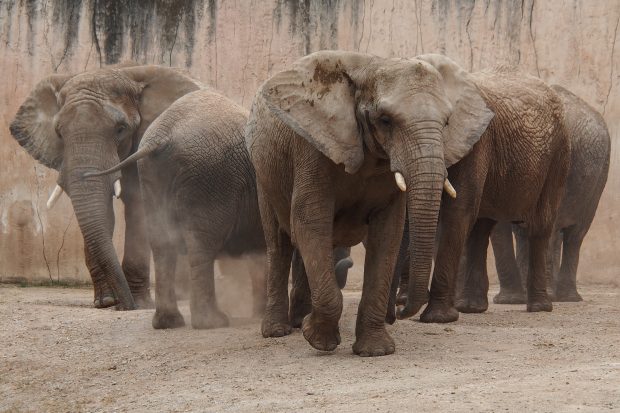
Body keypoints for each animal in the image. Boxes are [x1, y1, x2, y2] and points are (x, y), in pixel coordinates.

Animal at [9, 65, 202, 308]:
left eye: (120, 129)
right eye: (59, 133)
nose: (124, 305)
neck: (126, 72)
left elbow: (137, 207)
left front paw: (139, 304)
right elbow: (102, 214)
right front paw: (106, 302)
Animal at [245, 50, 492, 354]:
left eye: (446, 123)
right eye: (385, 120)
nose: (399, 314)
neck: (371, 66)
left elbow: (387, 233)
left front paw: (375, 351)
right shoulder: (312, 150)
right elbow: (309, 221)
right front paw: (318, 339)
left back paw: (299, 319)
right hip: (263, 173)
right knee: (279, 243)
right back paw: (278, 331)